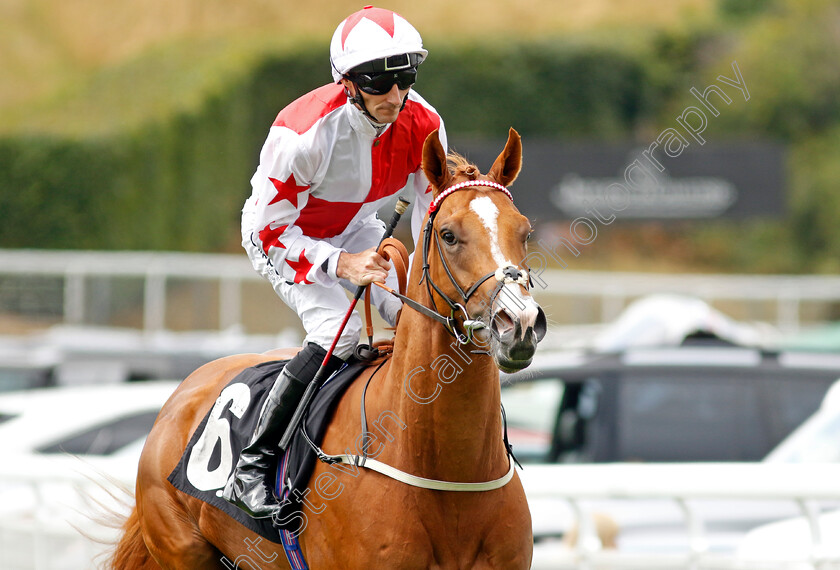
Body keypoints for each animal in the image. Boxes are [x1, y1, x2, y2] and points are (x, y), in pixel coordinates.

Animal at [108, 129, 544, 568]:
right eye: (449, 235)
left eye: (524, 232)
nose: (519, 323)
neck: (448, 473)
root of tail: (180, 395)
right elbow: (277, 225)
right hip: (181, 546)